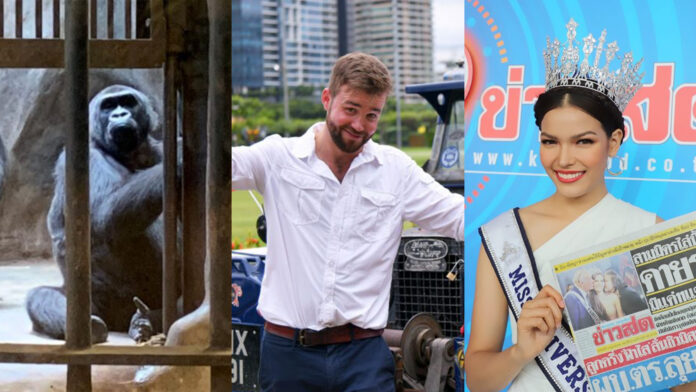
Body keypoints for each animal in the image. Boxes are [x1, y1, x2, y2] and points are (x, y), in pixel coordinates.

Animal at [25, 85, 177, 344]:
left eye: (128, 102)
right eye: (108, 106)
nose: (120, 115)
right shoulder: (87, 157)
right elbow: (105, 213)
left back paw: (150, 319)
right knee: (40, 296)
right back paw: (95, 326)